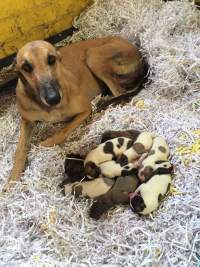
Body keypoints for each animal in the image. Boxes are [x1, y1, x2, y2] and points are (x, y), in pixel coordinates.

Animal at [3, 36, 146, 193]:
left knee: (121, 95)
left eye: (51, 59)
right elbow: (20, 149)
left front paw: (48, 142)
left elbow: (63, 131)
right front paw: (13, 178)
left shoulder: (85, 109)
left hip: (93, 56)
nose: (53, 99)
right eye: (26, 67)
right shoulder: (26, 120)